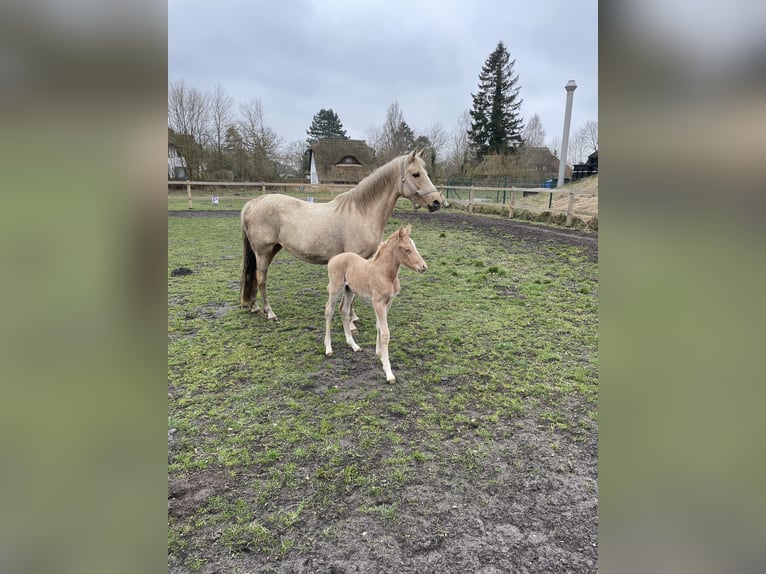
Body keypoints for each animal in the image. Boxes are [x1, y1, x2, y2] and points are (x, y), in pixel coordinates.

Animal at [326, 227, 428, 384]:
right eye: (407, 249)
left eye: (414, 246)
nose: (424, 267)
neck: (385, 274)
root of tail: (333, 259)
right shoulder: (378, 303)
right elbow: (386, 333)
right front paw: (388, 372)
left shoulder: (388, 302)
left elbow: (379, 326)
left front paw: (379, 353)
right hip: (336, 288)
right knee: (329, 310)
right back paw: (328, 348)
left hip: (349, 290)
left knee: (344, 310)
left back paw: (353, 345)